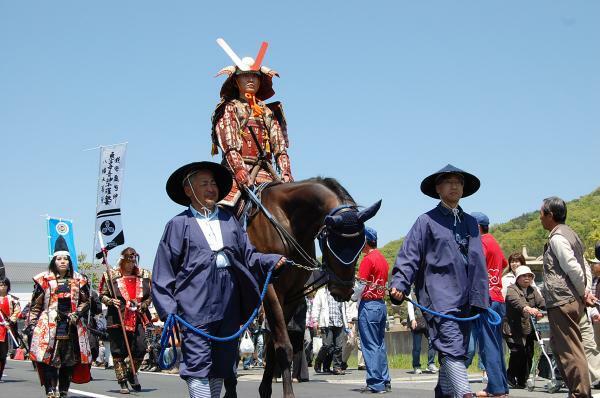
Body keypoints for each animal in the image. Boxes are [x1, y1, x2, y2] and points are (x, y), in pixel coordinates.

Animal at [243, 178, 380, 398]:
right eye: (333, 244)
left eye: (360, 246)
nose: (344, 290)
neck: (286, 221)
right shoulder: (270, 286)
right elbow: (284, 346)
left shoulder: (290, 296)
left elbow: (274, 343)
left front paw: (265, 389)